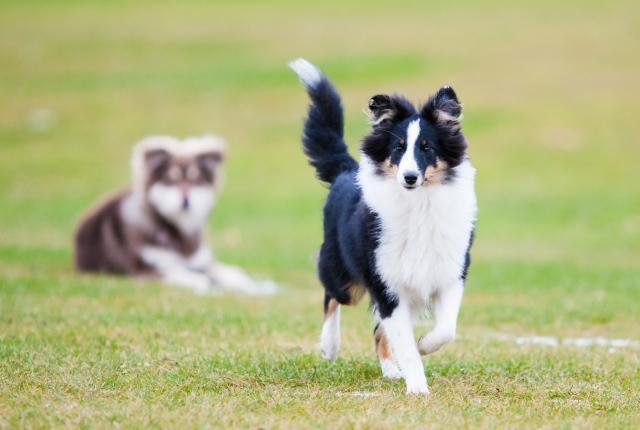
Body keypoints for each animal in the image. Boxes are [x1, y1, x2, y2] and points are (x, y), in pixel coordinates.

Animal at [74, 134, 276, 296]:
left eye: (196, 180)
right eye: (171, 179)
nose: (186, 200)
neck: (179, 235)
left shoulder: (201, 262)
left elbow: (231, 273)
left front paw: (253, 285)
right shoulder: (148, 268)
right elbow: (187, 275)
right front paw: (209, 286)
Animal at [290, 58, 476, 394]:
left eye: (427, 147)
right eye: (398, 147)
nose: (410, 177)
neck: (419, 205)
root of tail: (346, 171)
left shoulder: (450, 274)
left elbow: (446, 329)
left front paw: (424, 344)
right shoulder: (387, 284)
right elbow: (404, 342)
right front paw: (418, 388)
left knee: (379, 331)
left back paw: (390, 369)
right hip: (345, 277)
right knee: (331, 296)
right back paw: (330, 345)